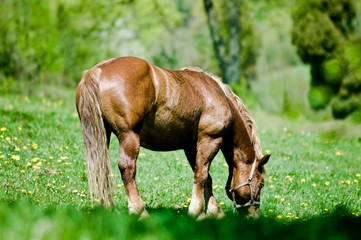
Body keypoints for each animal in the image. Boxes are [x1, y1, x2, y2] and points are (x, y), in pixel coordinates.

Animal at [74, 56, 268, 219]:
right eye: (260, 184)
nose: (254, 216)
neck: (220, 98)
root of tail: (97, 70)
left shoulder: (191, 147)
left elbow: (206, 177)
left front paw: (213, 213)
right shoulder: (210, 140)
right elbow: (201, 175)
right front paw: (198, 212)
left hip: (102, 134)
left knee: (101, 167)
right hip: (129, 136)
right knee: (127, 168)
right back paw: (140, 211)